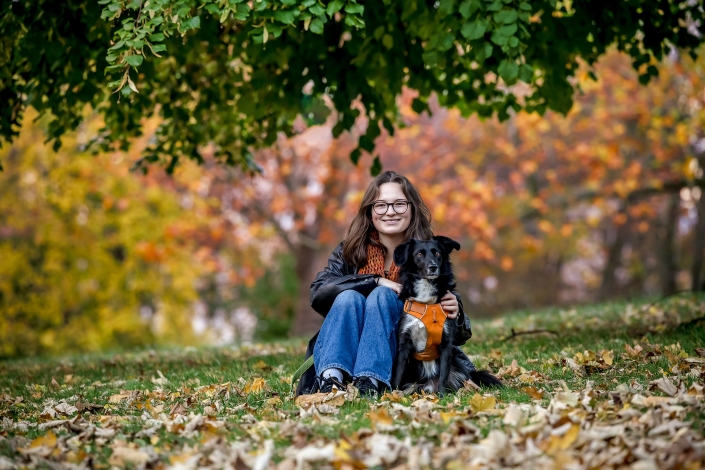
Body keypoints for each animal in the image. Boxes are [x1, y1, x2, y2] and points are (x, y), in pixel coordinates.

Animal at [390, 237, 500, 394]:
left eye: (437, 253)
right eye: (419, 254)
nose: (433, 267)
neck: (428, 303)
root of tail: (428, 385)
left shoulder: (446, 343)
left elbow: (443, 374)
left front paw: (442, 395)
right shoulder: (404, 342)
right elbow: (398, 373)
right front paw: (393, 394)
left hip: (458, 367)